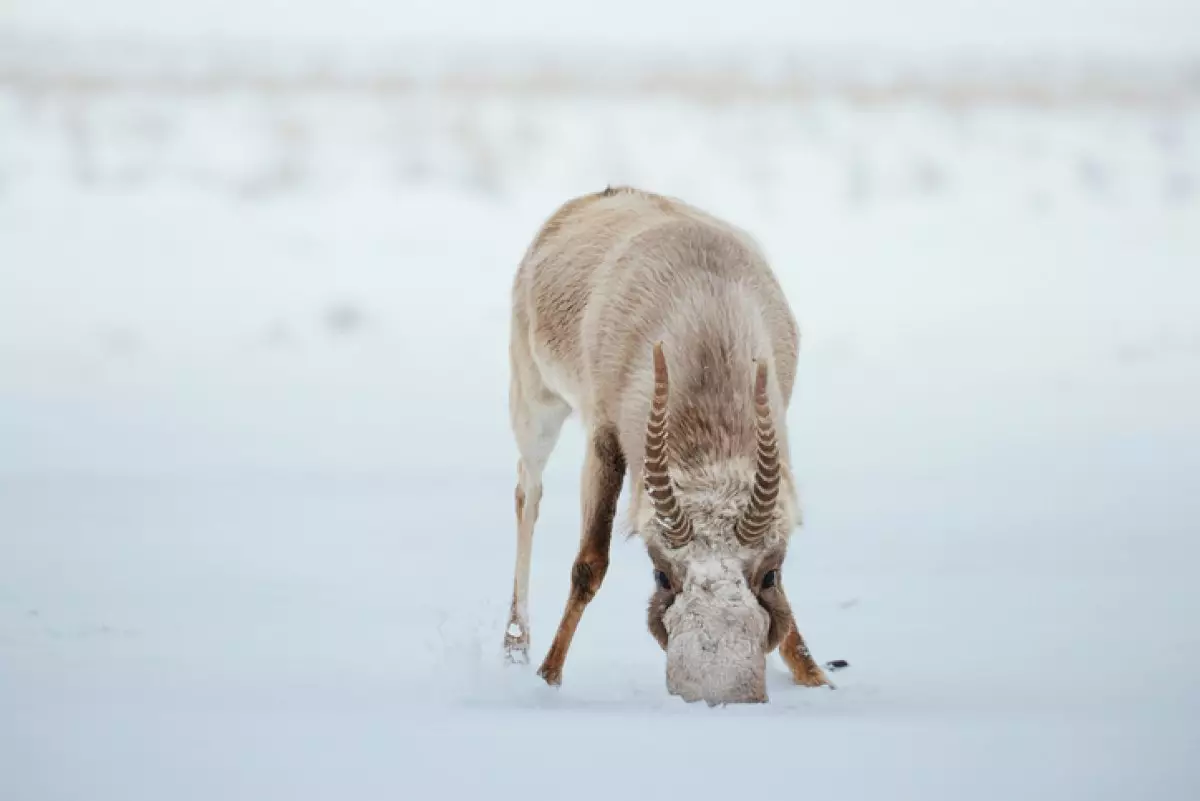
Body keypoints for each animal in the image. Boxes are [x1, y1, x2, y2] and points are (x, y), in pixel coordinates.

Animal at [501, 184, 830, 705]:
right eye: (661, 574)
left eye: (769, 574)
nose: (719, 689)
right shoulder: (605, 438)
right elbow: (589, 563)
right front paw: (547, 678)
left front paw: (815, 676)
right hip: (535, 399)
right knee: (527, 491)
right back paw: (516, 643)